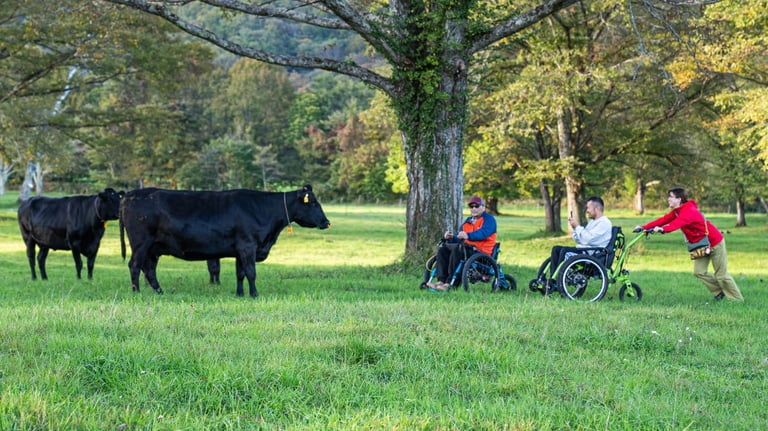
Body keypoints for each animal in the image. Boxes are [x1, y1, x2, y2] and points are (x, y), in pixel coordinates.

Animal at [119, 185, 330, 297]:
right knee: (135, 265)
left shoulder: (240, 250)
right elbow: (251, 272)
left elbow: (240, 274)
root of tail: (131, 194)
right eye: (312, 203)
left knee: (149, 269)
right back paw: (136, 292)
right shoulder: (248, 246)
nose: (327, 222)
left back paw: (159, 291)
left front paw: (240, 294)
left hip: (153, 248)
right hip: (141, 243)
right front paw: (254, 294)